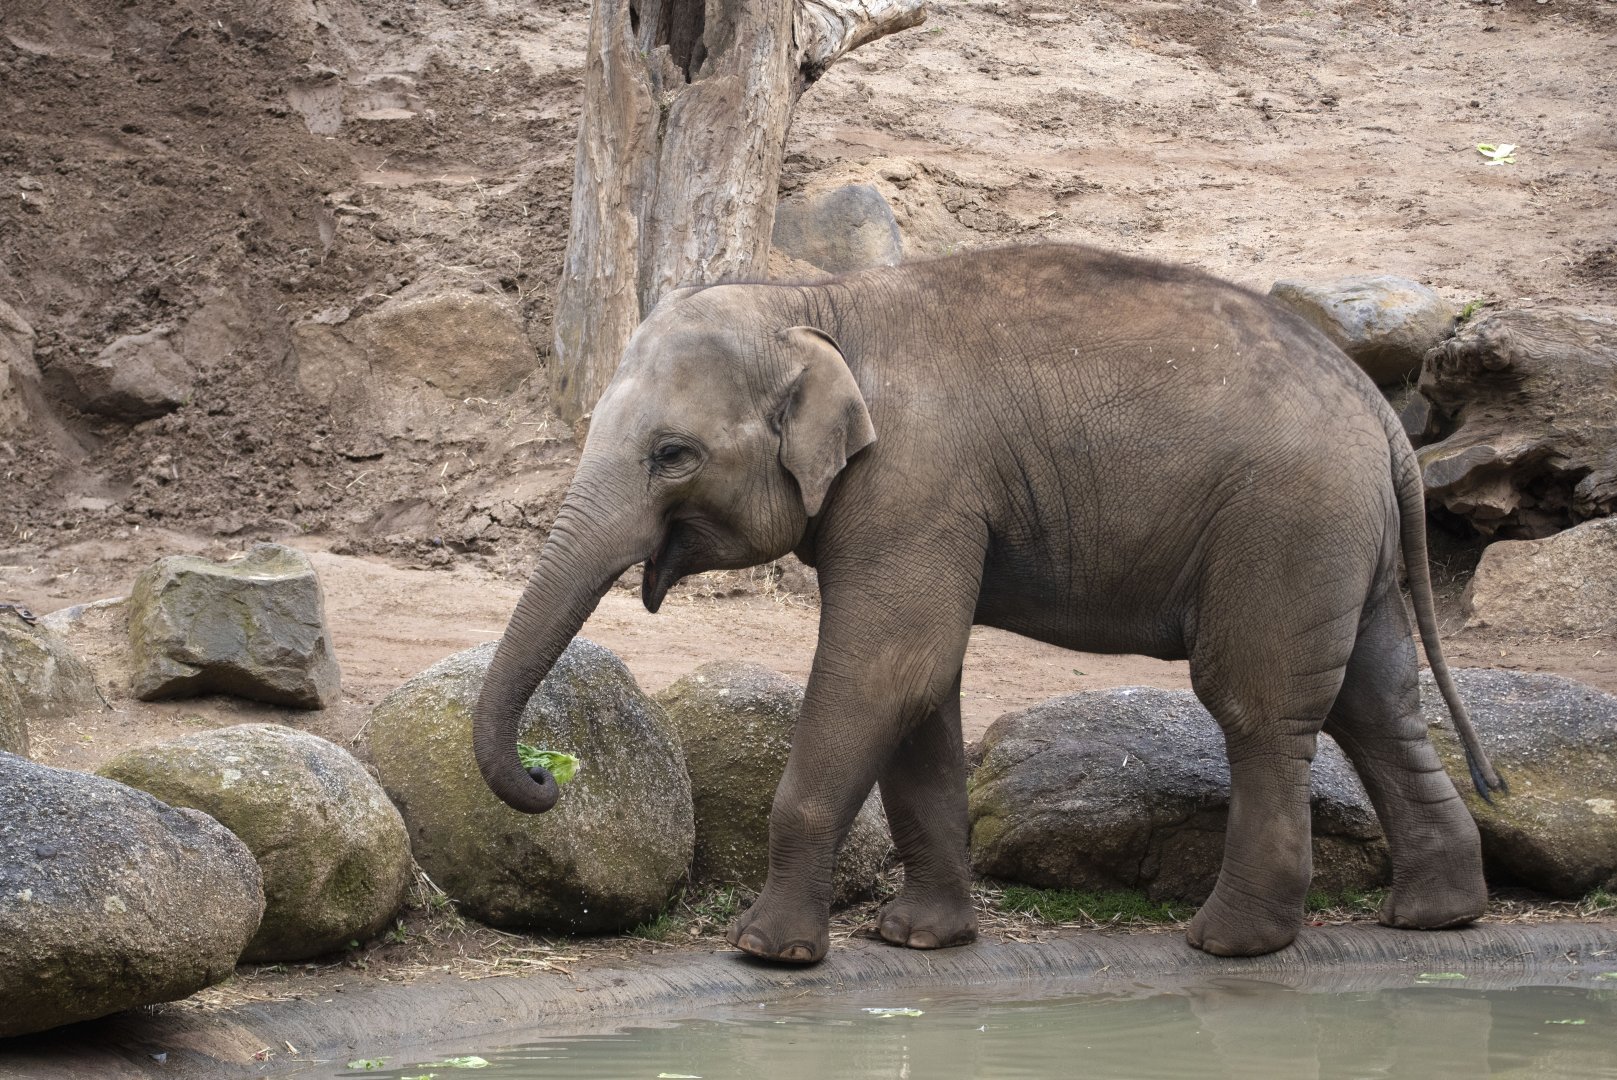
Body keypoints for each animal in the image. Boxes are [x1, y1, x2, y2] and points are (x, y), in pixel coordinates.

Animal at [472, 244, 1504, 962]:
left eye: (672, 454)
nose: (548, 779)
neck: (814, 305)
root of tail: (1384, 418)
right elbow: (922, 686)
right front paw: (917, 939)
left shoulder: (914, 482)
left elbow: (888, 666)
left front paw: (767, 953)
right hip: (1344, 542)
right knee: (1374, 699)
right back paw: (1434, 917)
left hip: (1286, 524)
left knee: (1258, 704)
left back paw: (1229, 944)